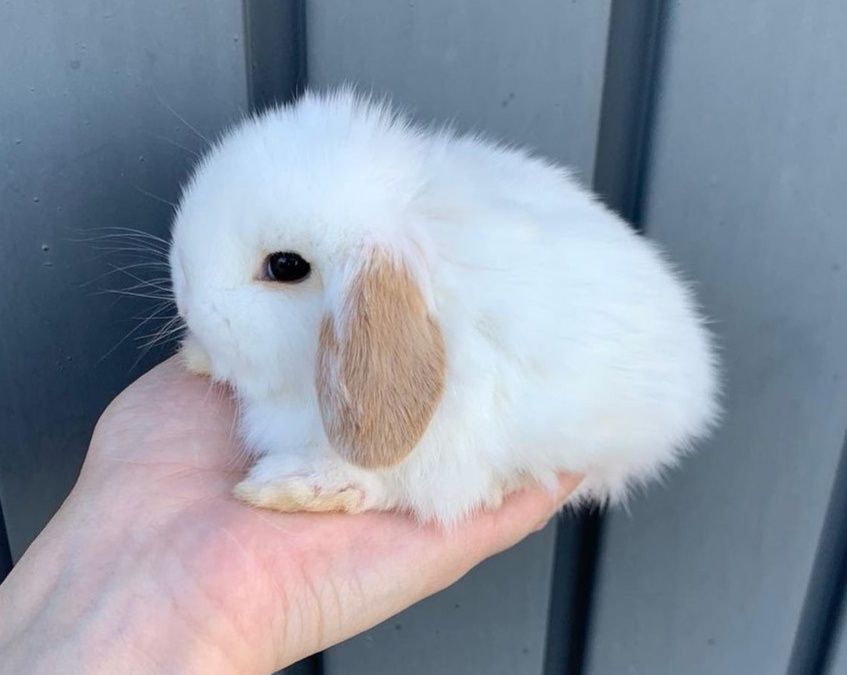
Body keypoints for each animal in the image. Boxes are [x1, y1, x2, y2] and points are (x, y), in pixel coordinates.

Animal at [171, 90, 724, 524]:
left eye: (285, 266)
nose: (185, 294)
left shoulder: (447, 457)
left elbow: (383, 482)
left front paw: (291, 485)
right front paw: (195, 355)